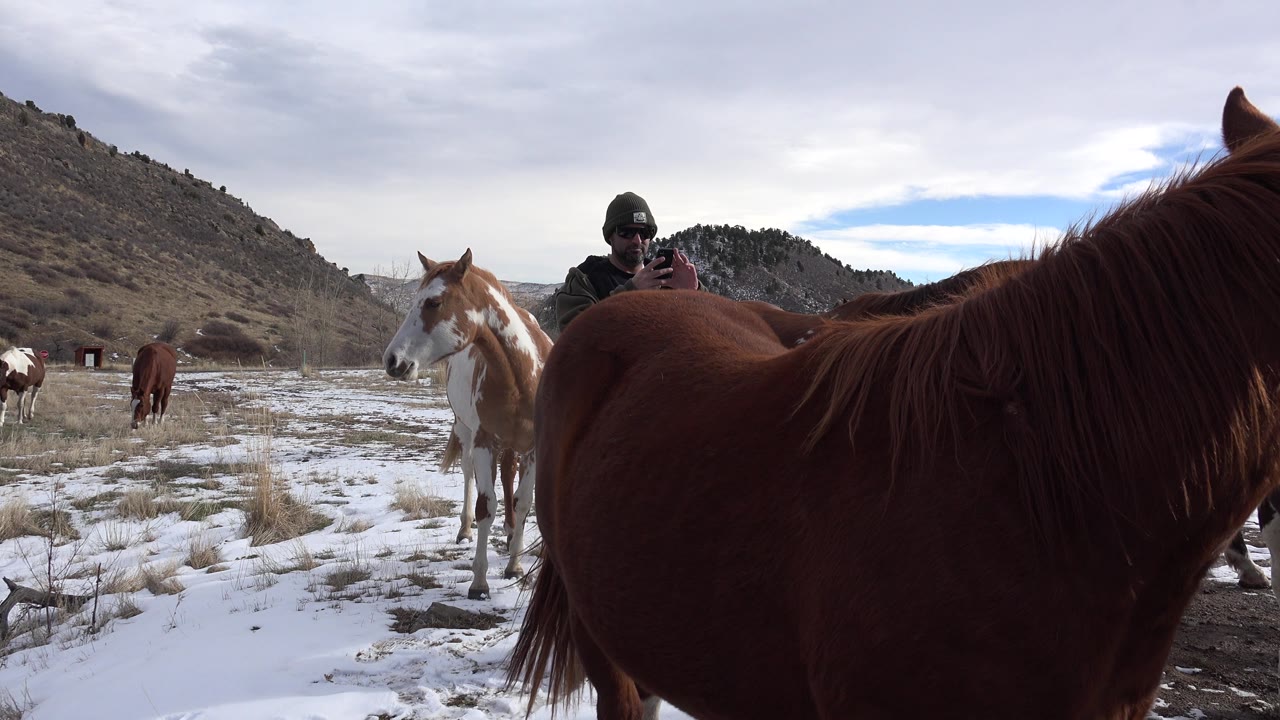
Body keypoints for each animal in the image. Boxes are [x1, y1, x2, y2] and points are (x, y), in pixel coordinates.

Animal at [383, 248, 552, 600]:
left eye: (433, 302)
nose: (392, 361)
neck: (521, 375)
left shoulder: (532, 448)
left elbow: (523, 502)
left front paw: (514, 564)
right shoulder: (484, 441)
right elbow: (486, 505)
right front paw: (479, 581)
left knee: (508, 477)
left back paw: (510, 532)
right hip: (465, 432)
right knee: (467, 475)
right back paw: (465, 529)